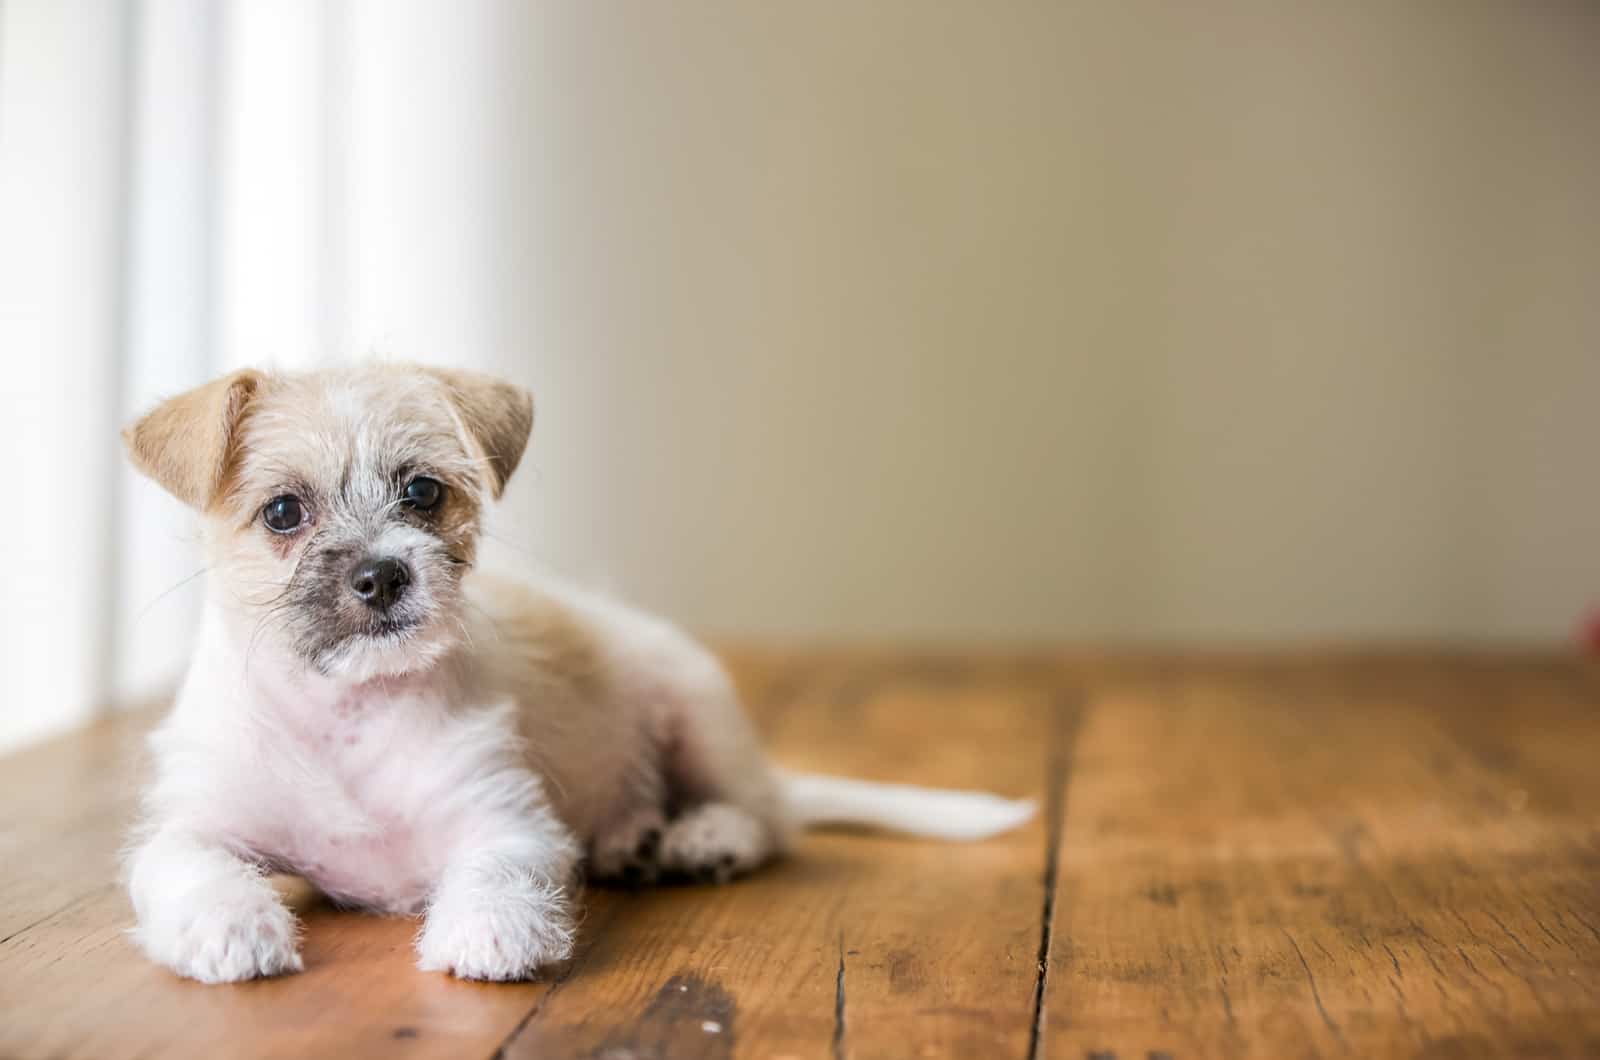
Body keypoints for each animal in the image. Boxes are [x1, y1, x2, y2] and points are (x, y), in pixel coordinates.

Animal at [118, 365, 1030, 986]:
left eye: (422, 492)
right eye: (283, 512)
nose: (382, 576)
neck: (351, 712)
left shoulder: (507, 819)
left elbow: (495, 871)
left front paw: (489, 931)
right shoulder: (196, 822)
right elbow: (187, 865)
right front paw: (228, 928)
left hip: (698, 713)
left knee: (768, 821)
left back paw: (701, 839)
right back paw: (635, 837)